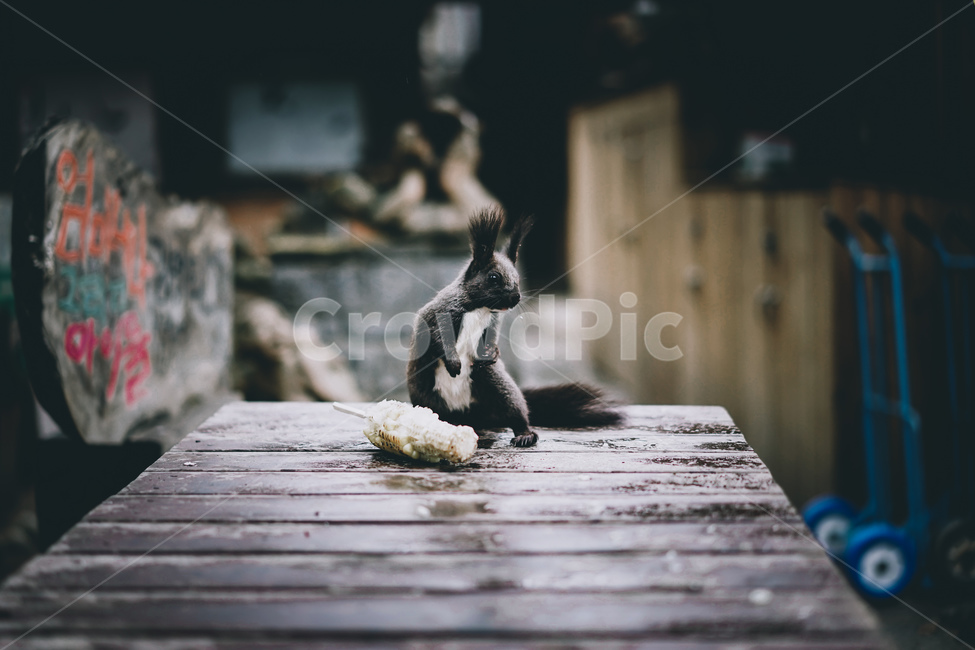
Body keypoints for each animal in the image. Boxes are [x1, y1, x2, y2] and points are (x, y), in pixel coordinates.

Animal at [407, 208, 624, 447]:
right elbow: (438, 337)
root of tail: (467, 415)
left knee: (514, 409)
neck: (480, 308)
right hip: (425, 393)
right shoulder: (440, 314)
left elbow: (491, 337)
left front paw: (492, 351)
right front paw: (454, 363)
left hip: (496, 384)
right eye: (493, 277)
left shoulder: (493, 322)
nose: (516, 297)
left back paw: (524, 434)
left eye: (518, 279)